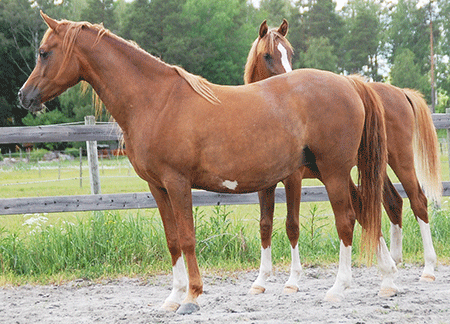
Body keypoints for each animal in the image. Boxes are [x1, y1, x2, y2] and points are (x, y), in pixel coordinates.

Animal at [19, 12, 388, 314]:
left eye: (44, 52)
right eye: (269, 55)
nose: (24, 96)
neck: (156, 101)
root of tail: (349, 83)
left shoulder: (178, 183)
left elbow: (187, 238)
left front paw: (192, 296)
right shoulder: (158, 187)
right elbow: (172, 240)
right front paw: (172, 297)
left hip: (333, 171)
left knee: (348, 219)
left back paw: (339, 288)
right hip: (333, 173)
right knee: (367, 210)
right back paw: (389, 279)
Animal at [244, 19, 442, 294]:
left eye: (290, 53)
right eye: (267, 55)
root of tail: (400, 92)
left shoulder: (295, 179)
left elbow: (292, 225)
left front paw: (293, 280)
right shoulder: (266, 184)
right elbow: (265, 224)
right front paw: (261, 280)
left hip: (400, 161)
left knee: (418, 201)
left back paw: (428, 268)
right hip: (375, 168)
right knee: (393, 203)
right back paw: (394, 261)